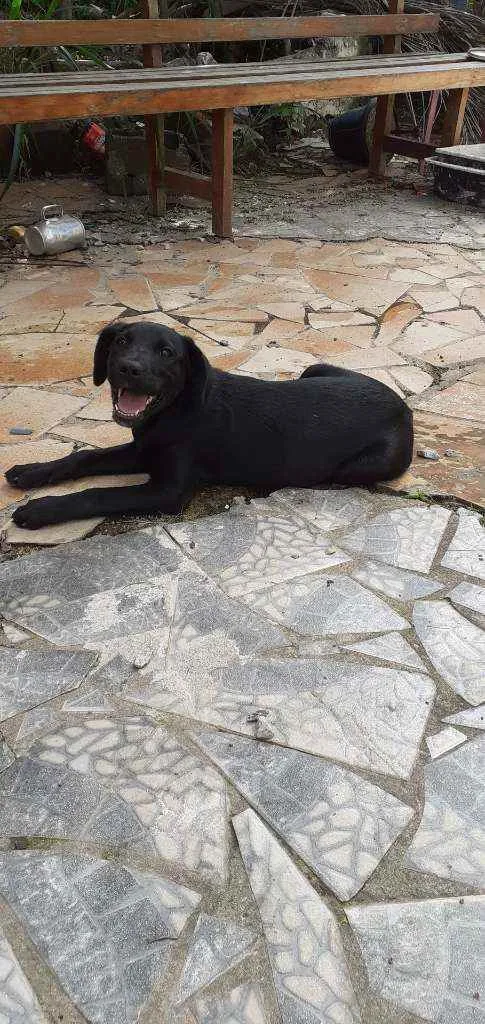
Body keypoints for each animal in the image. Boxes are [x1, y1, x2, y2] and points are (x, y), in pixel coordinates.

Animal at [5, 319, 413, 528]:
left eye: (166, 353)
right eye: (121, 341)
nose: (128, 368)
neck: (173, 412)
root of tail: (402, 404)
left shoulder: (168, 491)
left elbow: (97, 494)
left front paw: (41, 510)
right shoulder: (141, 450)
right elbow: (83, 457)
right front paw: (32, 470)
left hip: (360, 466)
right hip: (313, 369)